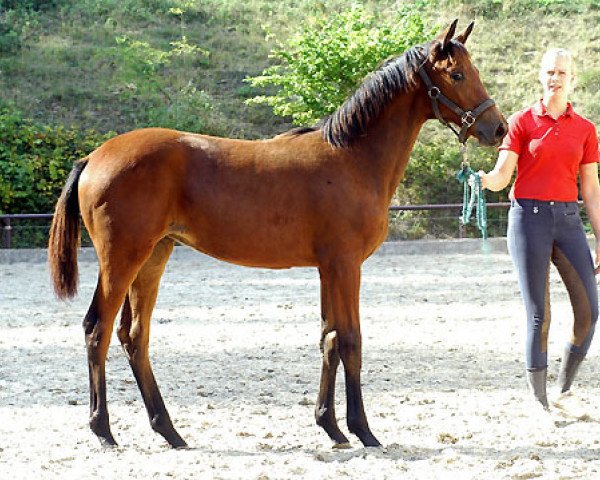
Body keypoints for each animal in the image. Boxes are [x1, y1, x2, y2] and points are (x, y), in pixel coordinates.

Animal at [49, 19, 506, 450]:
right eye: (457, 75)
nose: (498, 128)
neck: (351, 158)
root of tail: (93, 157)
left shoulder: (327, 268)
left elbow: (329, 338)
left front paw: (331, 426)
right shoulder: (345, 265)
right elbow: (351, 340)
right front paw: (363, 430)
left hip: (154, 257)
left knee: (134, 337)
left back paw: (170, 431)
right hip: (122, 259)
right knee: (97, 330)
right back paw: (104, 430)